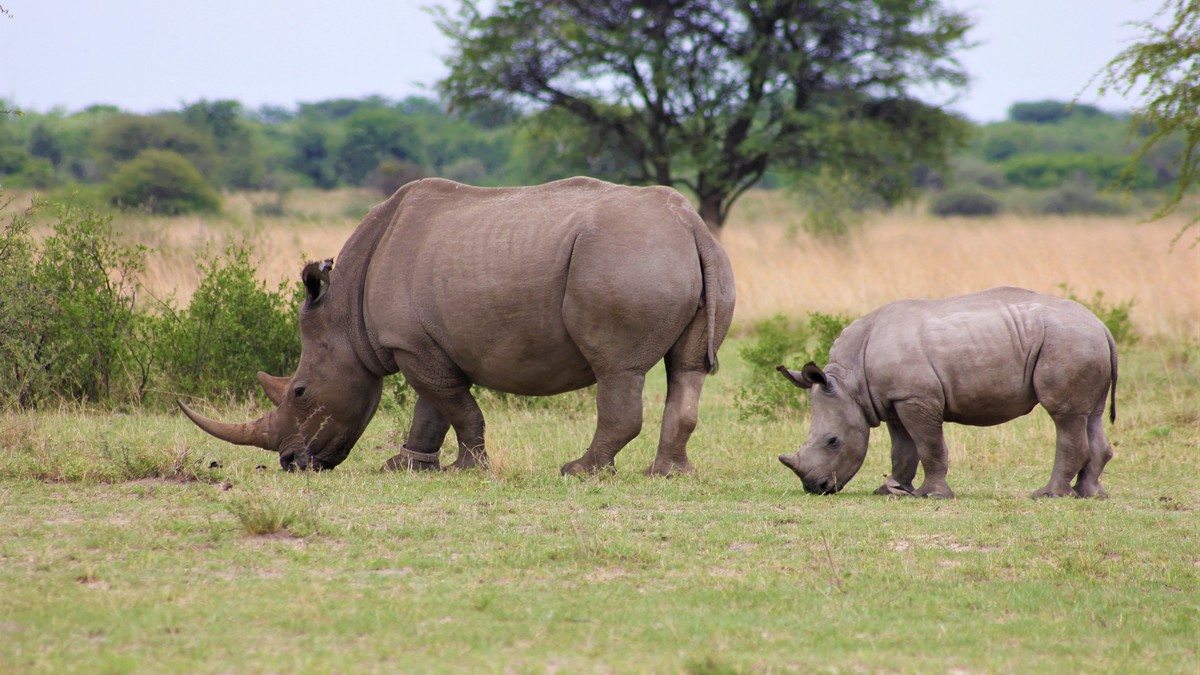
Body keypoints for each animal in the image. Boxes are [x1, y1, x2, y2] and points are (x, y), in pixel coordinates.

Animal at [179, 177, 735, 476]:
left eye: (298, 392)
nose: (292, 464)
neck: (344, 312)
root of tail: (691, 225)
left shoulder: (408, 344)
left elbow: (454, 407)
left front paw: (467, 469)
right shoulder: (422, 344)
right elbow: (434, 408)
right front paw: (403, 467)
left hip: (625, 256)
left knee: (618, 368)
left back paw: (578, 472)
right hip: (683, 256)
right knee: (686, 369)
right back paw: (669, 474)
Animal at [776, 287, 1117, 499]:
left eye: (832, 441)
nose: (816, 487)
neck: (851, 383)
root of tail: (1102, 325)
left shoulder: (916, 398)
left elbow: (929, 445)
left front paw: (932, 495)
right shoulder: (895, 399)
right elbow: (903, 449)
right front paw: (892, 491)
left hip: (1069, 342)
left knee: (1064, 416)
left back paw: (1047, 495)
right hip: (1084, 343)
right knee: (1091, 415)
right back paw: (1090, 495)